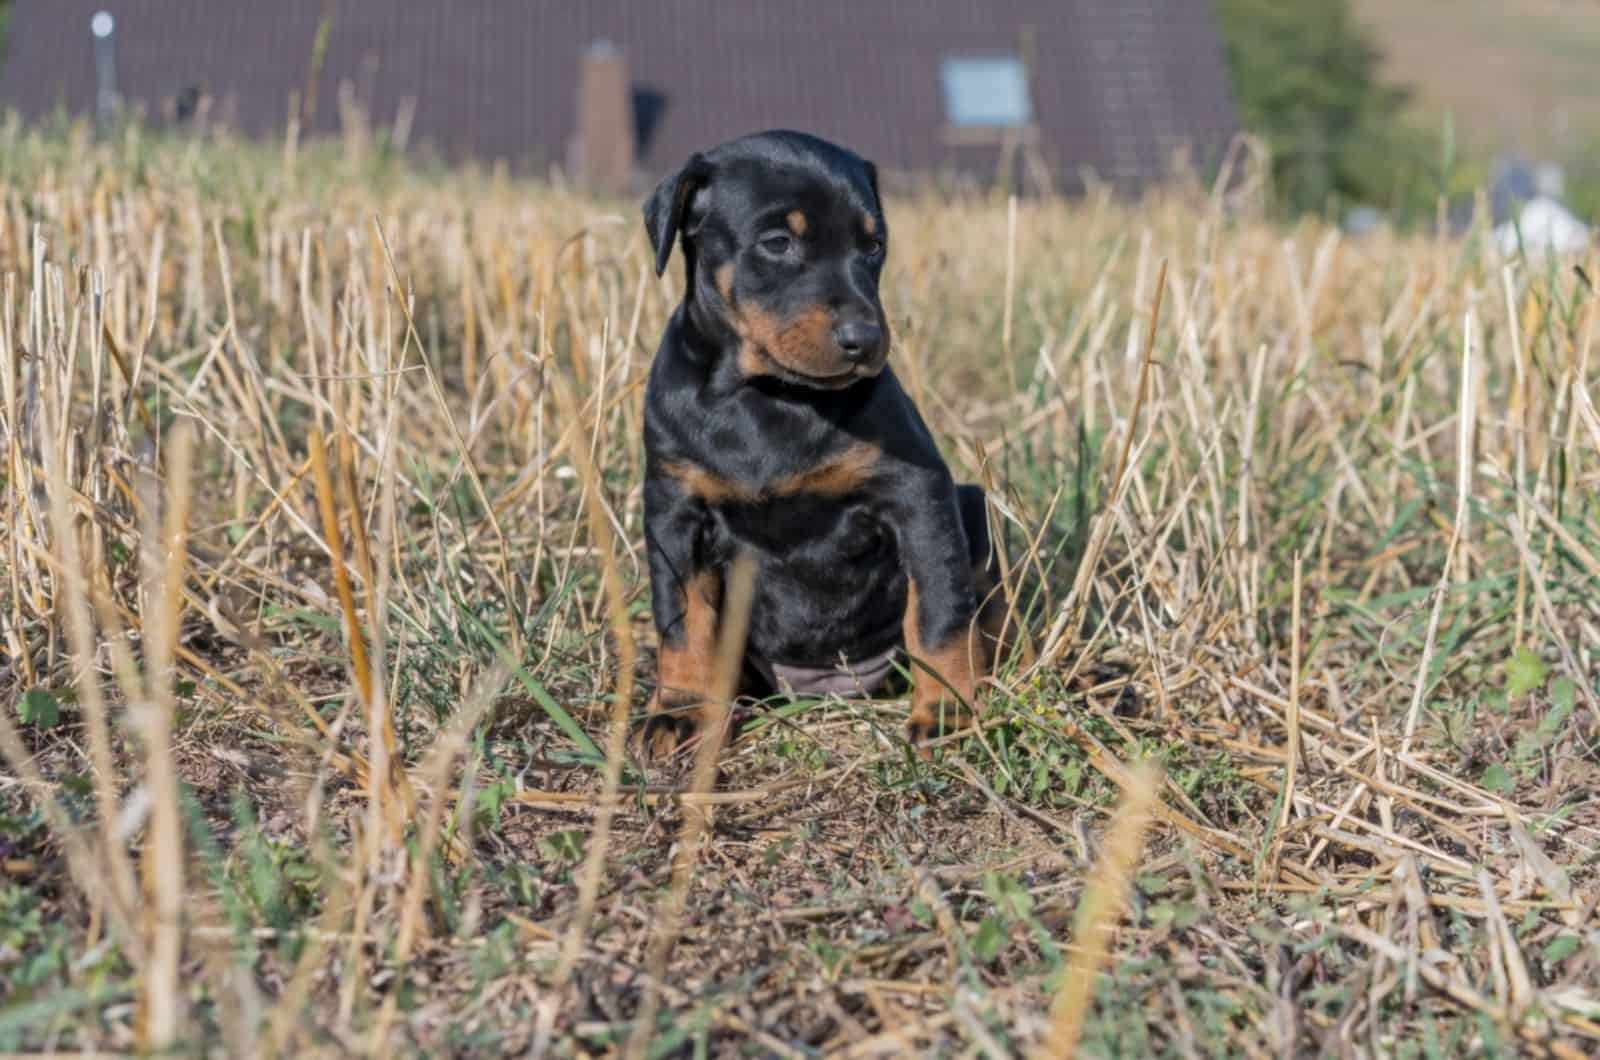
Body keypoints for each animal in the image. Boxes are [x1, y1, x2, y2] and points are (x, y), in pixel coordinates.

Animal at [636, 132, 998, 758]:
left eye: (873, 245)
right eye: (778, 242)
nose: (865, 339)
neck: (770, 396)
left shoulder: (917, 495)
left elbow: (939, 610)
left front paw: (946, 710)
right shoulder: (673, 510)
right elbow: (681, 620)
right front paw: (679, 711)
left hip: (974, 507)